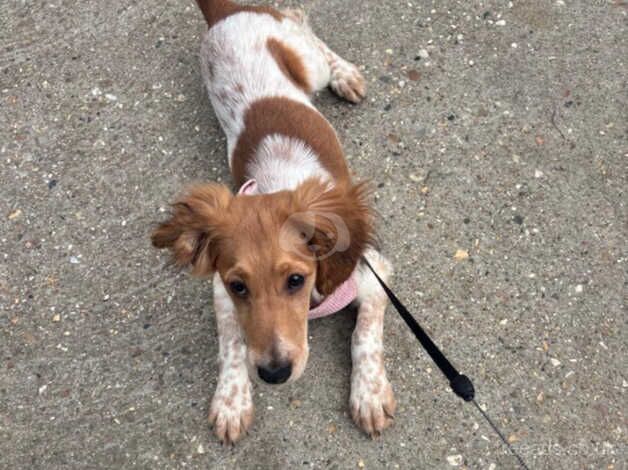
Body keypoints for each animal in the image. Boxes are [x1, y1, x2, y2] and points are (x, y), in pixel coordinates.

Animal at [152, 0, 394, 442]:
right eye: (239, 286)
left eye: (296, 280)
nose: (275, 373)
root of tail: (226, 11)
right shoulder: (220, 291)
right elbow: (232, 344)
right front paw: (231, 400)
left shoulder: (374, 274)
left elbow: (364, 334)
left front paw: (368, 393)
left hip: (306, 60)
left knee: (300, 19)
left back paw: (346, 75)